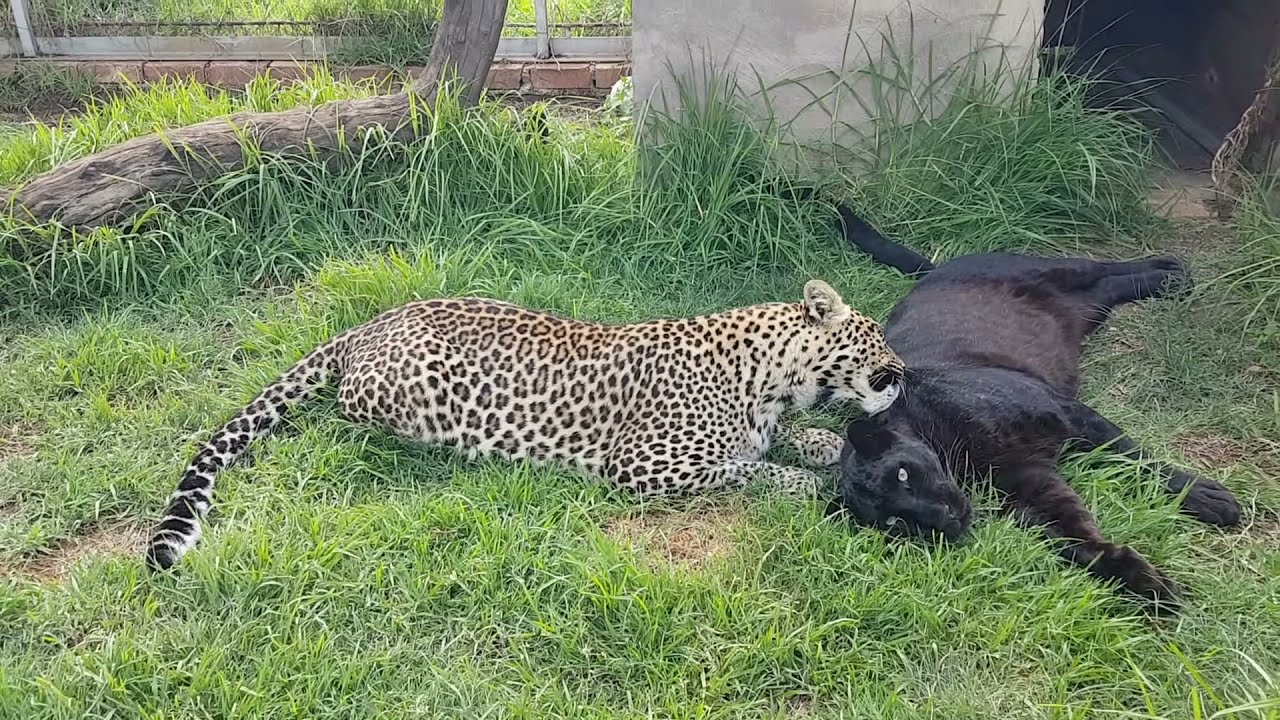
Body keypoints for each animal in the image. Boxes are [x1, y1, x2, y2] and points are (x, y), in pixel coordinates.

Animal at [145, 279, 906, 571]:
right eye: (874, 336)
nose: (903, 373)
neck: (776, 381)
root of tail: (370, 323)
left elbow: (781, 442)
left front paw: (823, 443)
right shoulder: (641, 464)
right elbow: (748, 469)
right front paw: (812, 482)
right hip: (416, 394)